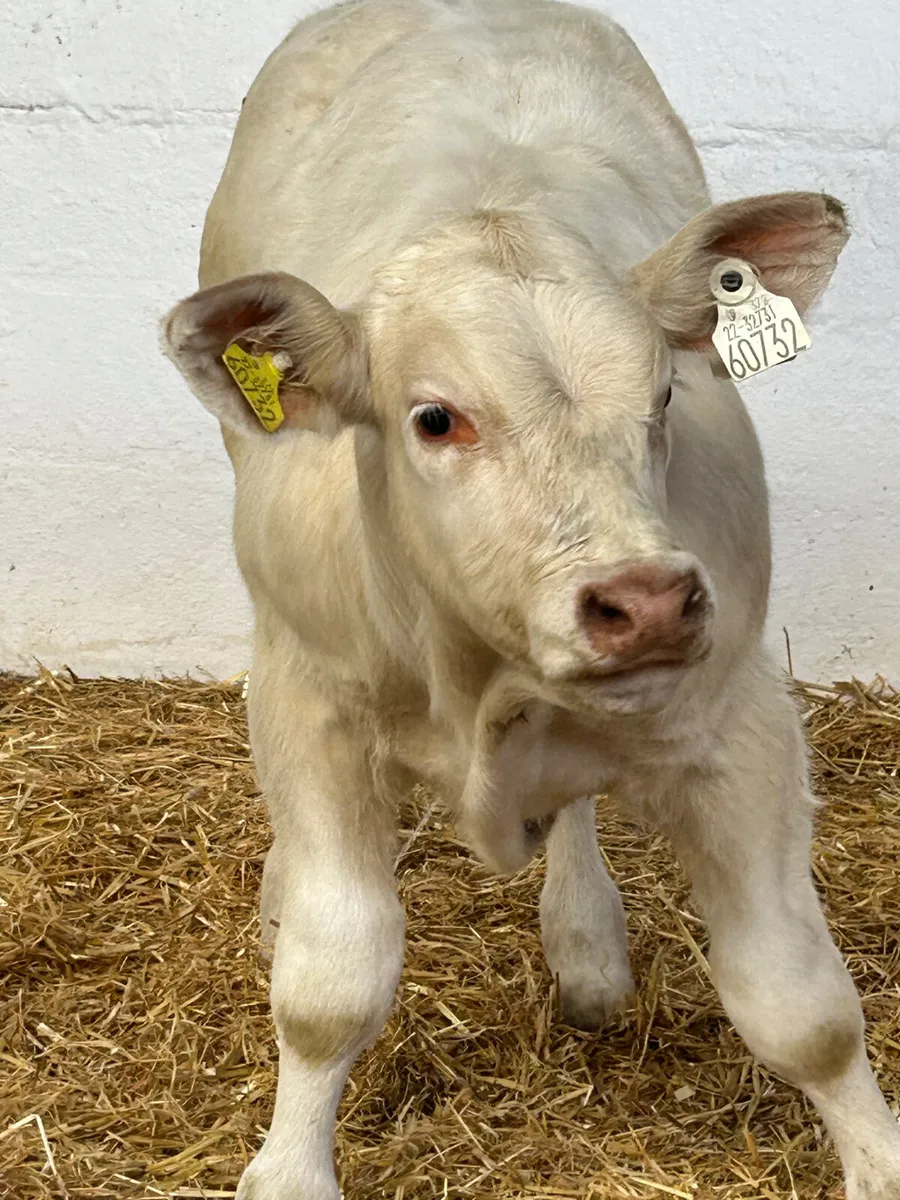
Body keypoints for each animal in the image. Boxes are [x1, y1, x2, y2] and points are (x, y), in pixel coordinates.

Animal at [160, 1, 900, 1196]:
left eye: (666, 395)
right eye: (434, 418)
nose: (646, 600)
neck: (474, 670)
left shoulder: (739, 717)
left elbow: (803, 1007)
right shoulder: (308, 695)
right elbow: (330, 985)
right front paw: (290, 1167)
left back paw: (585, 938)